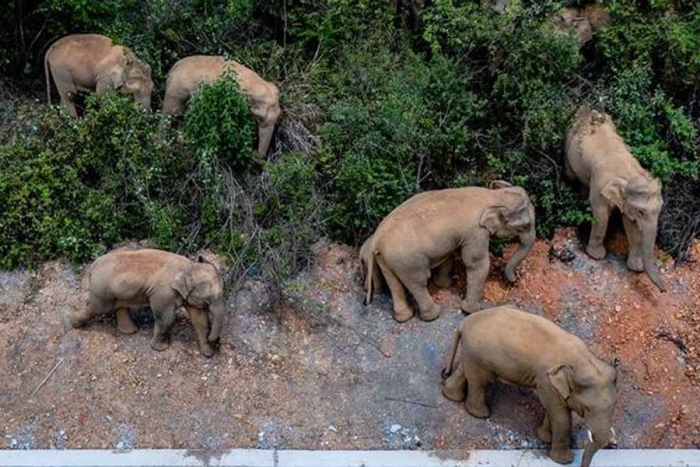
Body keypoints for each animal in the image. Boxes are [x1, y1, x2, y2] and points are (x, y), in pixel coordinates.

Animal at [70, 249, 226, 358]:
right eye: (209, 299)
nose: (217, 343)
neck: (188, 266)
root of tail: (93, 265)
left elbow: (200, 319)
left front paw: (208, 354)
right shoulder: (163, 293)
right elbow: (167, 318)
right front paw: (161, 348)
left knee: (118, 306)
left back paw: (130, 331)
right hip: (102, 290)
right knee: (97, 308)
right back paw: (75, 324)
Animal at [360, 181, 536, 324]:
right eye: (525, 226)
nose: (514, 280)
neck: (492, 196)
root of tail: (377, 238)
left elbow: (450, 254)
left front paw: (445, 284)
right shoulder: (476, 232)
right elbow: (477, 263)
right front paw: (472, 310)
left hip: (387, 259)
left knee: (394, 283)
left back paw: (403, 317)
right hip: (408, 261)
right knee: (419, 281)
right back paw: (433, 315)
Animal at [442, 308, 616, 467]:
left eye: (613, 408)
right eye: (587, 409)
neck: (583, 359)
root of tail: (465, 323)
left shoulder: (550, 384)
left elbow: (551, 409)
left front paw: (545, 437)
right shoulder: (546, 380)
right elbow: (561, 416)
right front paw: (564, 460)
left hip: (472, 352)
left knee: (464, 370)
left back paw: (451, 396)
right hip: (480, 354)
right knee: (480, 381)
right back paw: (481, 414)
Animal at [564, 108, 668, 294]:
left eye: (659, 210)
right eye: (641, 212)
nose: (663, 291)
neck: (629, 174)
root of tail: (586, 108)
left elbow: (630, 224)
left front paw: (636, 268)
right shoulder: (599, 184)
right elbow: (601, 215)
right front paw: (596, 256)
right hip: (568, 144)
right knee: (570, 174)